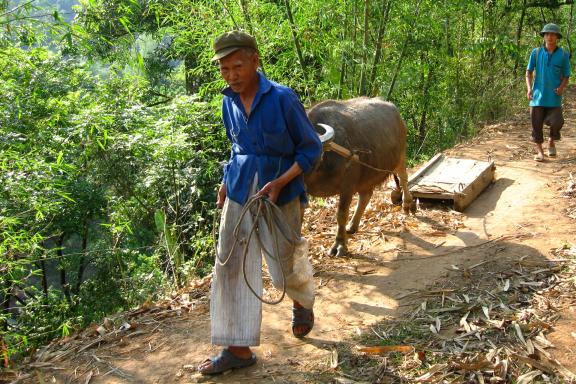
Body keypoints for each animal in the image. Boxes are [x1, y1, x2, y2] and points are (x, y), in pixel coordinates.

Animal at [306, 97, 414, 256]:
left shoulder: (347, 186)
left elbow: (341, 214)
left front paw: (340, 245)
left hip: (400, 157)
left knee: (403, 179)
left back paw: (407, 204)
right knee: (366, 195)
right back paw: (352, 226)